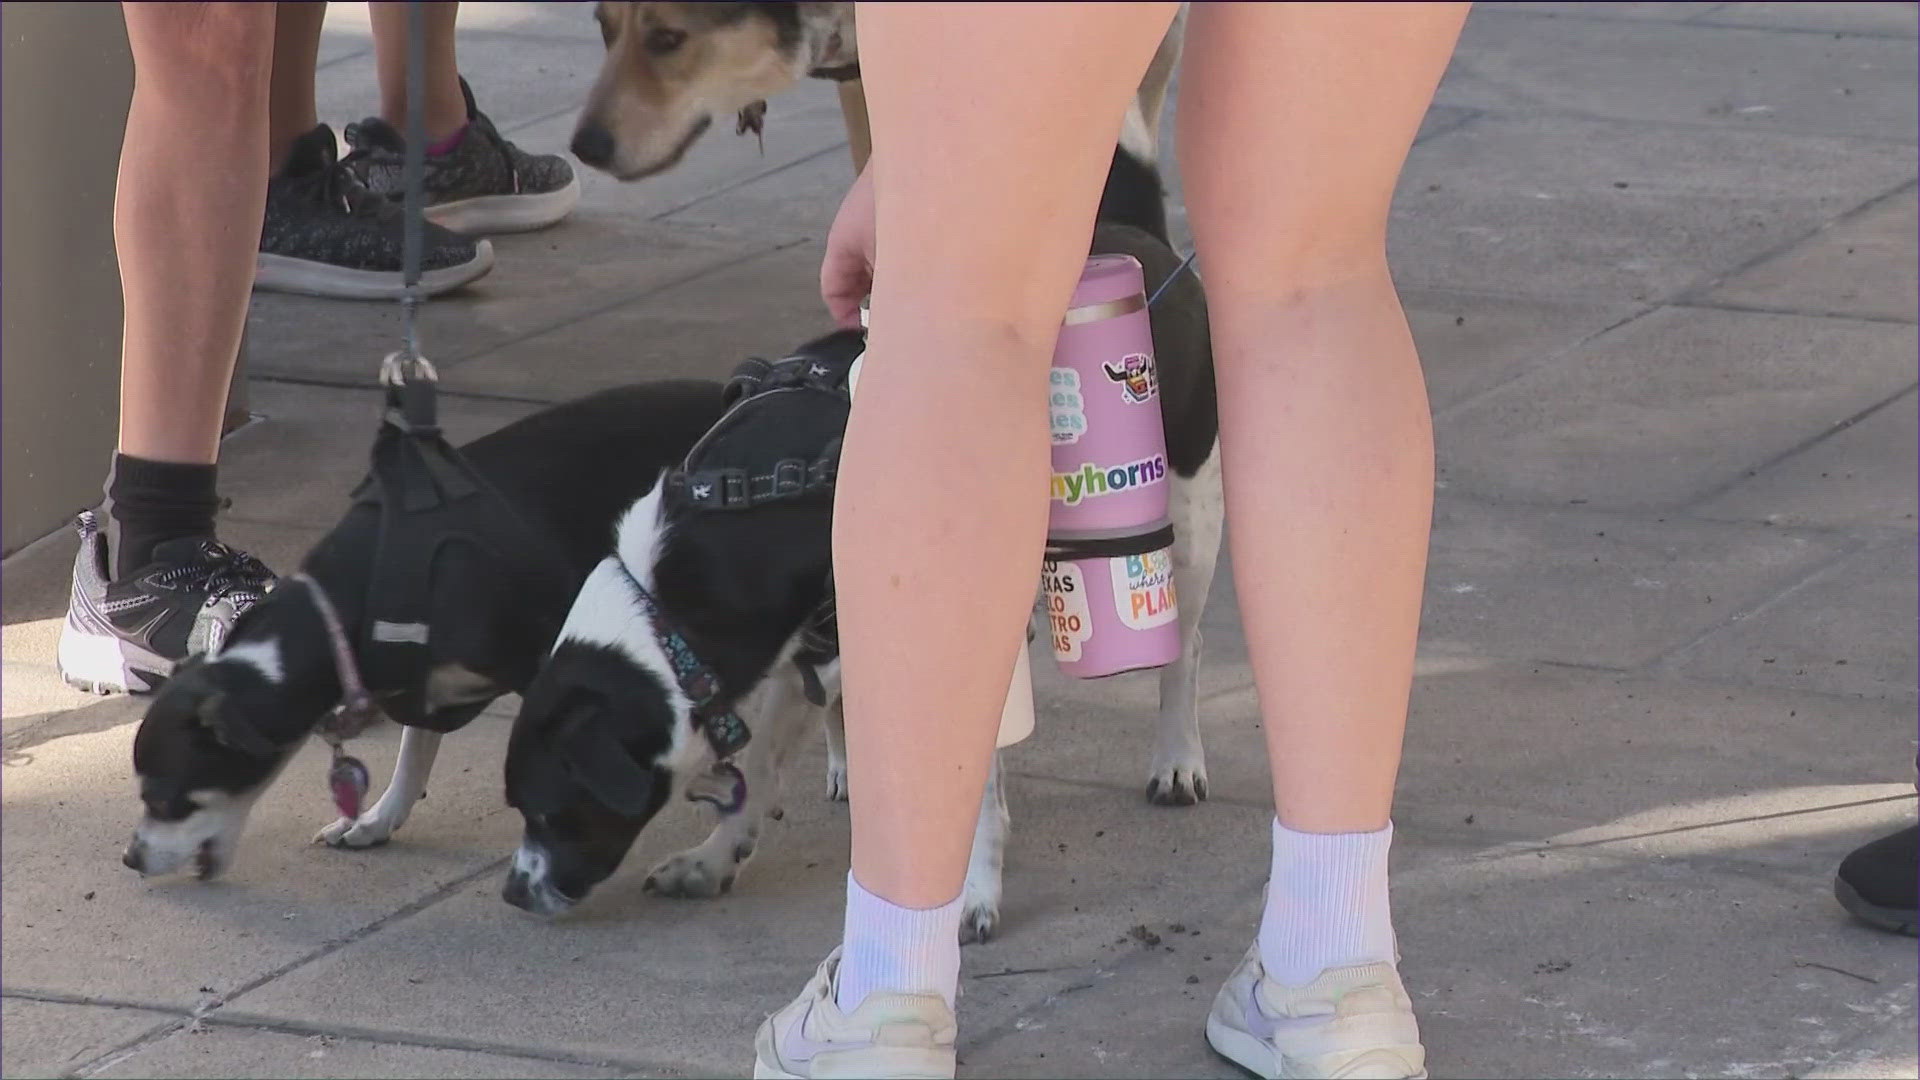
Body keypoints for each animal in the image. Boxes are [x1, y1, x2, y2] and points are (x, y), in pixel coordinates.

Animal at [120, 382, 729, 880]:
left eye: (169, 802)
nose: (130, 858)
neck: (339, 614)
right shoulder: (417, 674)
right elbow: (415, 750)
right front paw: (374, 820)